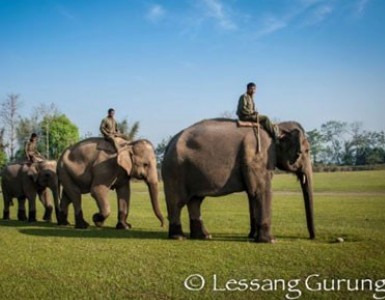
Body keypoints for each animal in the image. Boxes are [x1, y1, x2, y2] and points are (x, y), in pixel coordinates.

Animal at [160, 118, 314, 243]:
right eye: (305, 151)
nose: (311, 238)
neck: (277, 128)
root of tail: (169, 144)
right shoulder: (258, 157)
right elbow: (260, 190)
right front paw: (271, 240)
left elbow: (252, 193)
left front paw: (252, 236)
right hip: (175, 170)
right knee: (177, 202)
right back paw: (179, 237)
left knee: (195, 201)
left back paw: (204, 236)